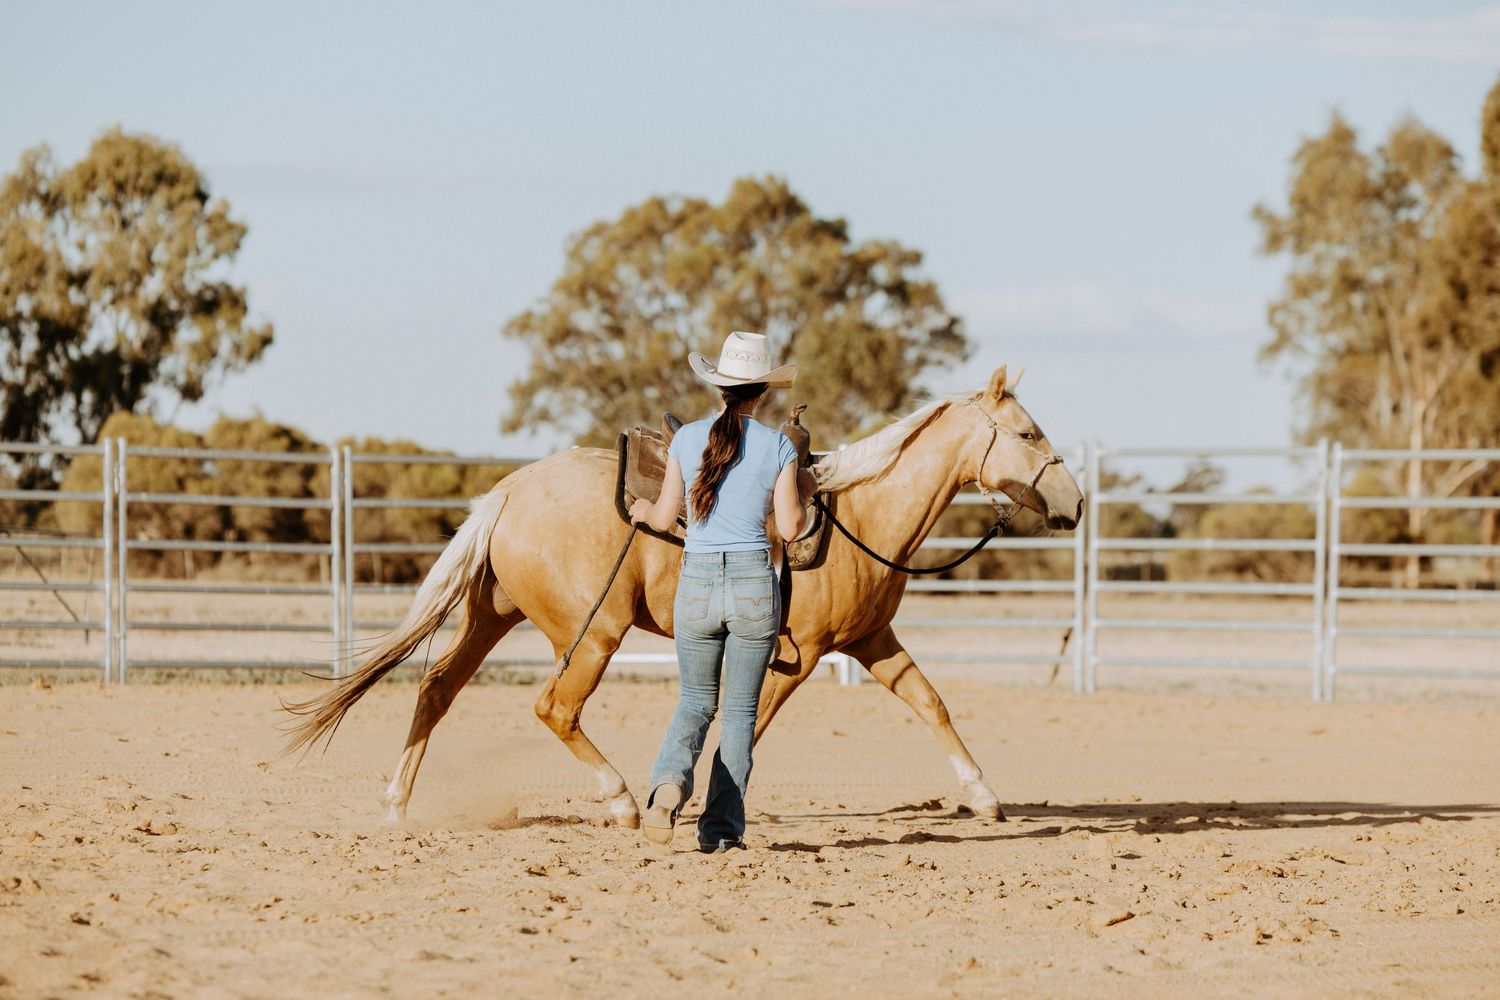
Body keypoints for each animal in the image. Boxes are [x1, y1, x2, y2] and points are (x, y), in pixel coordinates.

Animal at [284, 365, 1084, 829]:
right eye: (1027, 431)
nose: (1074, 503)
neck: (860, 515)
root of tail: (508, 491)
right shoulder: (799, 656)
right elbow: (748, 727)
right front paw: (692, 800)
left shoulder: (870, 643)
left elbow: (931, 702)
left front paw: (984, 796)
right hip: (593, 633)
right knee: (554, 708)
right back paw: (617, 800)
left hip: (491, 617)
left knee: (436, 690)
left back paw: (397, 803)